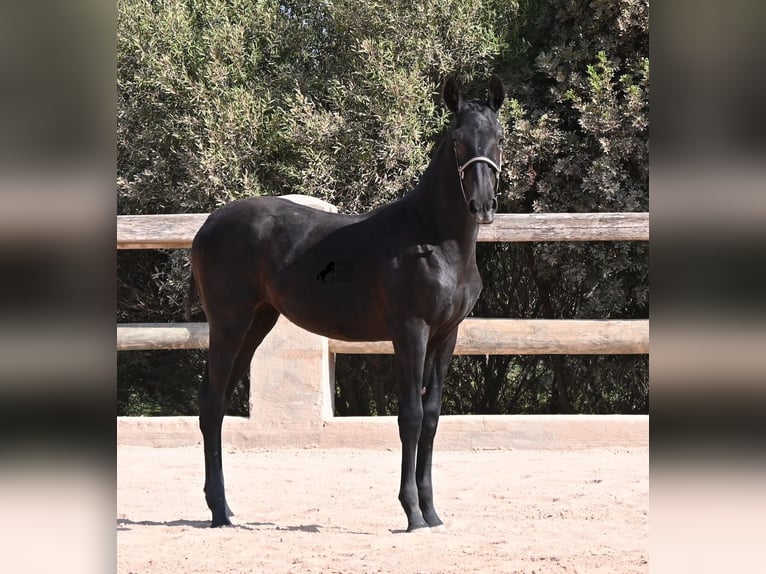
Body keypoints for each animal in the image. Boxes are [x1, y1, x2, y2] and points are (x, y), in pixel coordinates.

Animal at [189, 75, 505, 531]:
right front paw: (412, 512)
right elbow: (410, 416)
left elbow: (431, 416)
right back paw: (218, 512)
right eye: (458, 140)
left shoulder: (446, 336)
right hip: (228, 323)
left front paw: (432, 512)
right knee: (212, 406)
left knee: (216, 402)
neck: (434, 239)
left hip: (256, 323)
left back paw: (226, 508)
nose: (481, 205)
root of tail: (207, 225)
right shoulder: (410, 331)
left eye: (499, 138)